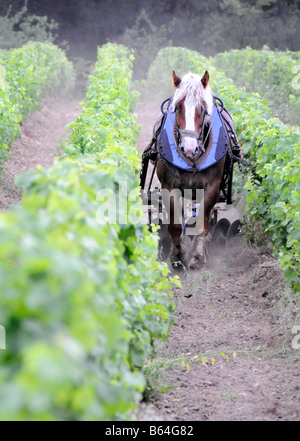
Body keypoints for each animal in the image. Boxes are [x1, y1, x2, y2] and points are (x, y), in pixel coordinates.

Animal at [156, 70, 226, 268]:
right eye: (178, 107)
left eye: (202, 108)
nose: (189, 148)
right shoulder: (169, 186)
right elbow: (174, 224)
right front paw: (178, 255)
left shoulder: (213, 187)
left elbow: (203, 222)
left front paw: (197, 256)